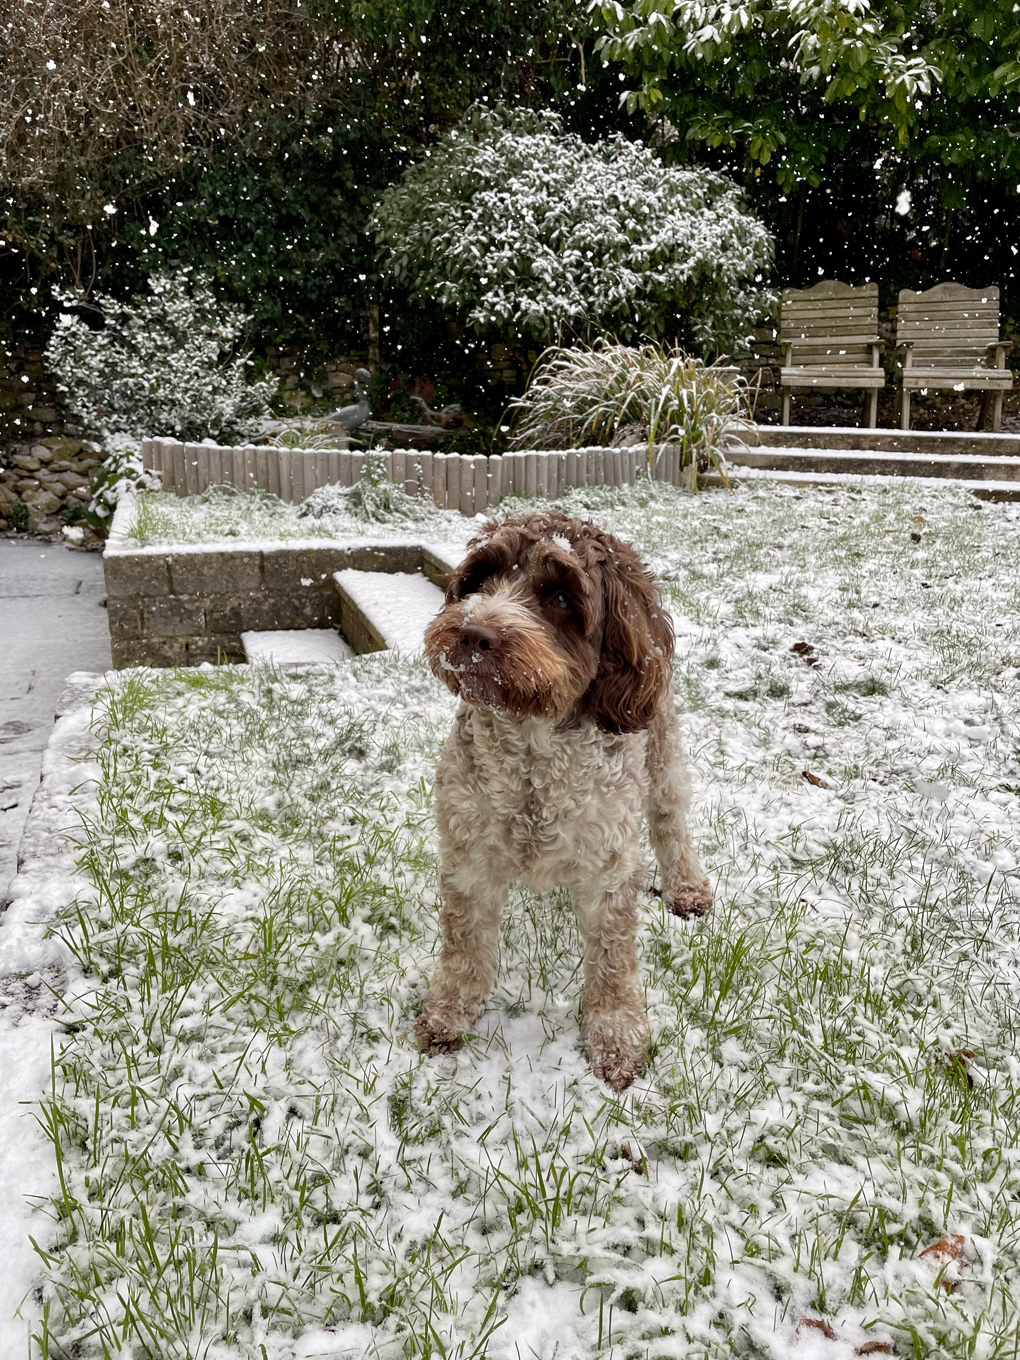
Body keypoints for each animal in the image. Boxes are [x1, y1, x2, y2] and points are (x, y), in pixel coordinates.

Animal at [416, 511, 712, 1093]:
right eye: (478, 579)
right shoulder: (468, 857)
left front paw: (617, 1038)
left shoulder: (609, 867)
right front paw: (447, 1015)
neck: (533, 757)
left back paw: (686, 886)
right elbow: (463, 945)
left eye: (559, 596)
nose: (473, 633)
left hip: (662, 754)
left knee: (671, 823)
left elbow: (613, 963)